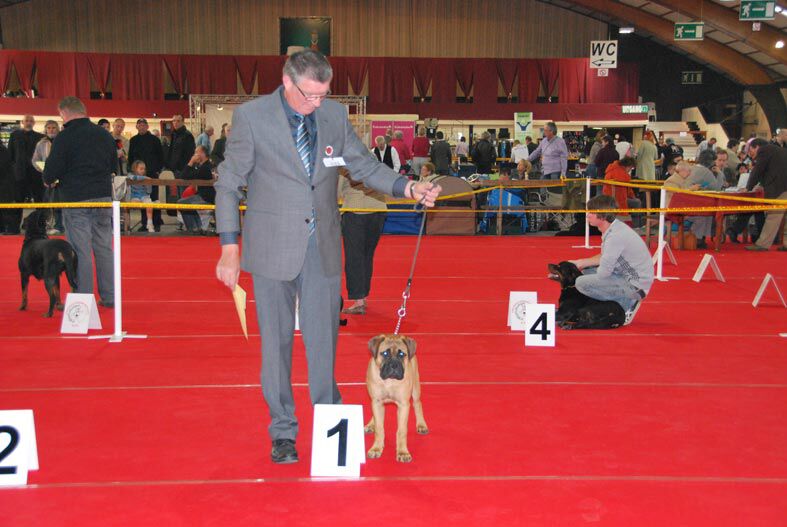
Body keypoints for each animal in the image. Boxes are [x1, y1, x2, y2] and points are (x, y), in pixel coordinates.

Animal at [365, 334, 428, 463]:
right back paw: (370, 424)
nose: (394, 365)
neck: (390, 381)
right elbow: (379, 428)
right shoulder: (377, 402)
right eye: (385, 353)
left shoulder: (403, 405)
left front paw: (403, 452)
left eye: (402, 354)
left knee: (417, 404)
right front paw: (376, 448)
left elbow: (401, 431)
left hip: (415, 387)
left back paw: (421, 425)